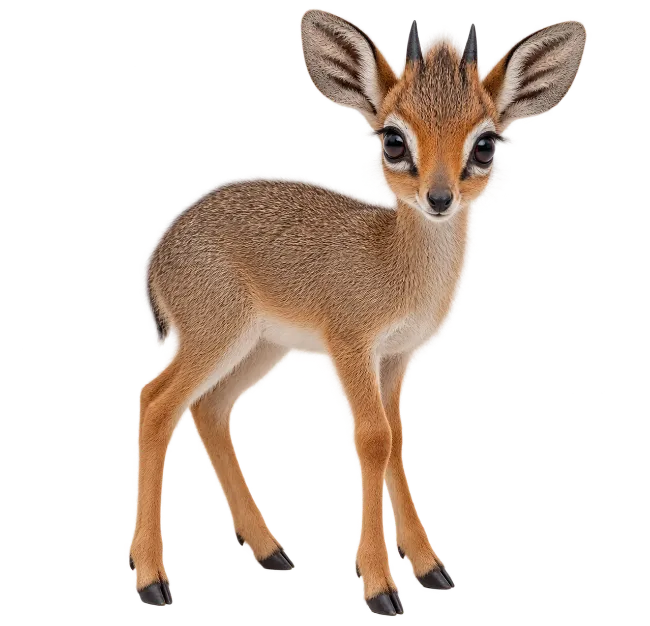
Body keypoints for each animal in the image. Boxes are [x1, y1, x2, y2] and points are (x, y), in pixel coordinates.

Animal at [132, 9, 588, 615]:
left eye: (485, 144)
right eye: (394, 140)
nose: (439, 197)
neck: (397, 266)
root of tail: (160, 254)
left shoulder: (396, 360)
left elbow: (396, 443)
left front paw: (430, 568)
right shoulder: (351, 347)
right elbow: (372, 440)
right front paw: (379, 588)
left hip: (261, 348)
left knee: (207, 408)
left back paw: (270, 552)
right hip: (215, 337)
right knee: (157, 403)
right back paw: (152, 580)